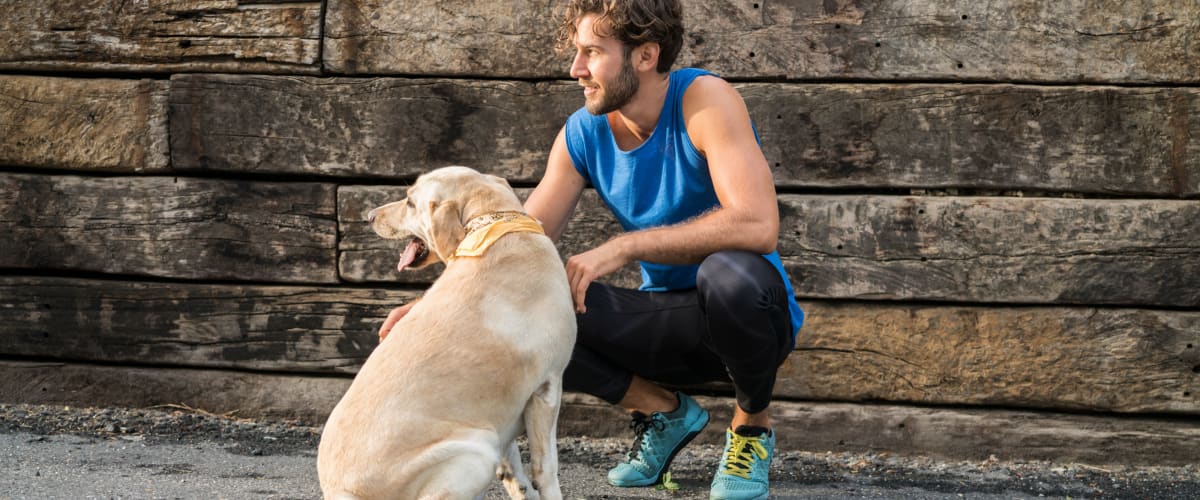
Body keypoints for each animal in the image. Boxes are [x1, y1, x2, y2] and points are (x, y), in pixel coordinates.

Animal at [316, 165, 578, 496]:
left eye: (410, 203)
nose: (370, 215)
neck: (491, 224)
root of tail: (341, 491)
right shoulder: (547, 387)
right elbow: (547, 469)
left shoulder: (510, 409)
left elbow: (515, 469)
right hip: (477, 447)